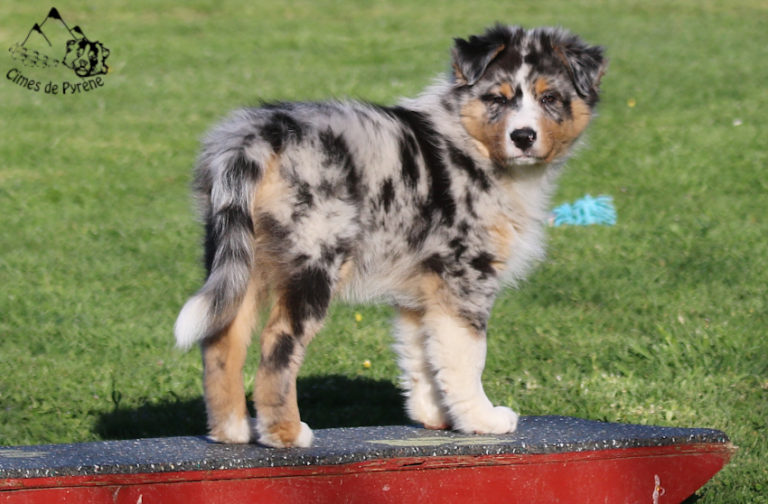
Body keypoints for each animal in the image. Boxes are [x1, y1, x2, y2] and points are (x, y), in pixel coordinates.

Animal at [175, 24, 606, 448]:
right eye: (497, 99)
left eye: (550, 98)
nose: (523, 137)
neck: (473, 143)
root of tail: (259, 135)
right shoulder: (466, 277)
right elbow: (467, 357)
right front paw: (481, 419)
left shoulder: (421, 290)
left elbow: (424, 355)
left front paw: (435, 415)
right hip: (315, 258)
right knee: (278, 345)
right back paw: (285, 434)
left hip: (237, 256)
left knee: (222, 340)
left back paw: (231, 431)